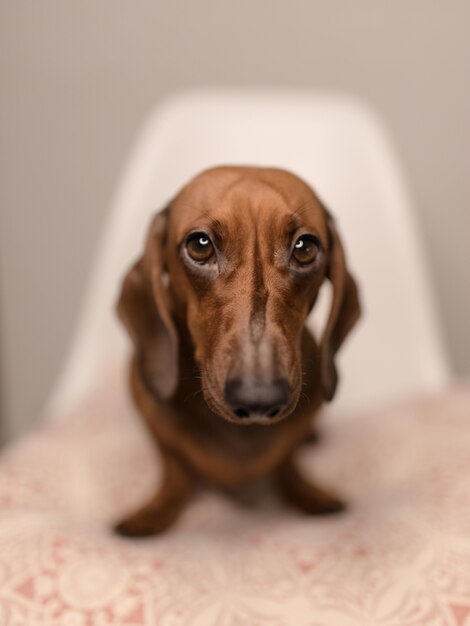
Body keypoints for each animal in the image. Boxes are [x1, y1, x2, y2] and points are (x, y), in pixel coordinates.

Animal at [113, 166, 360, 536]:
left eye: (305, 247)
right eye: (199, 244)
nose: (258, 398)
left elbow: (288, 460)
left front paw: (305, 492)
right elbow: (174, 466)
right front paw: (156, 510)